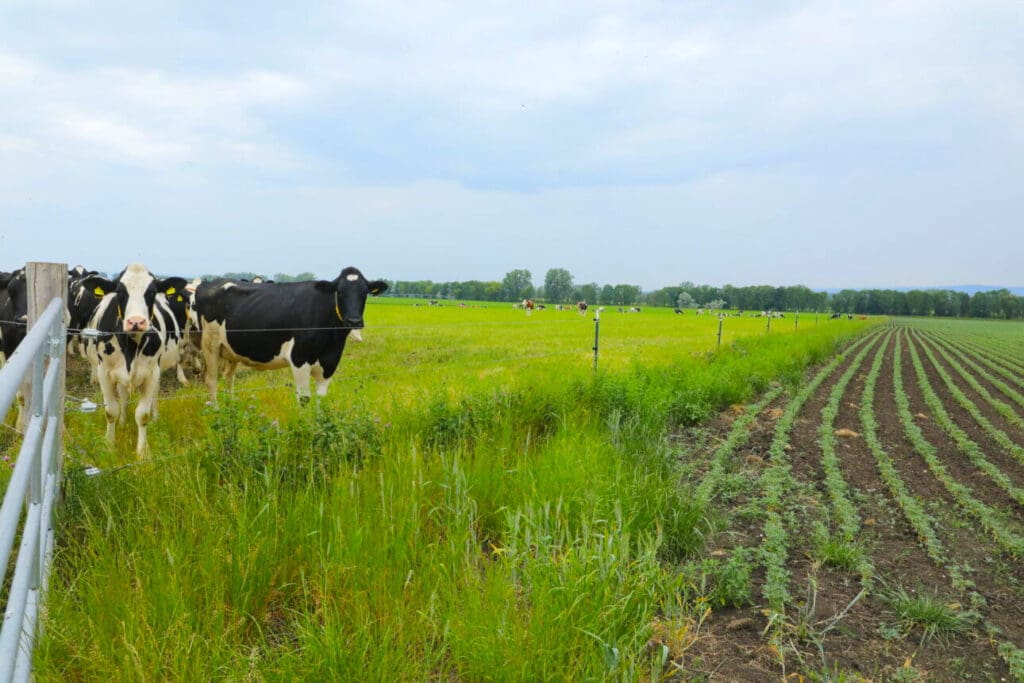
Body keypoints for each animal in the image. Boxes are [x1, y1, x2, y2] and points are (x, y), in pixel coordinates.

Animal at [78, 264, 189, 456]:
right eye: (120, 292)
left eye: (151, 292)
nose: (136, 321)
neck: (131, 346)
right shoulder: (103, 372)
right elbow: (111, 410)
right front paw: (109, 444)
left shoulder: (152, 373)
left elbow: (142, 414)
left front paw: (142, 452)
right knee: (123, 395)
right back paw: (122, 422)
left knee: (154, 394)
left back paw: (155, 418)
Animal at [192, 266, 387, 405]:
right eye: (340, 292)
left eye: (364, 293)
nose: (354, 321)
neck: (332, 340)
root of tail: (209, 284)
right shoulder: (299, 359)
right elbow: (304, 399)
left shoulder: (330, 362)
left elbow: (321, 401)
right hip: (210, 345)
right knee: (211, 381)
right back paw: (217, 412)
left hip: (232, 350)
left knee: (229, 378)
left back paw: (231, 407)